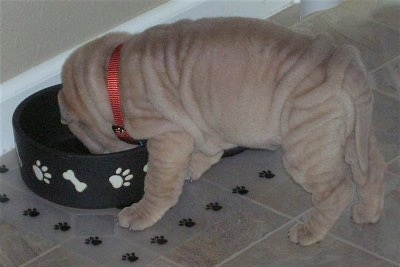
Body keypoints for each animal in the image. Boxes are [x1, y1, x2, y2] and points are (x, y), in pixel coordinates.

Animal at [57, 17, 386, 246]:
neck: (111, 76)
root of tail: (340, 59)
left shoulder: (168, 137)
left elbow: (159, 183)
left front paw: (141, 213)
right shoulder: (203, 126)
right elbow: (206, 152)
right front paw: (191, 168)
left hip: (306, 148)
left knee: (337, 190)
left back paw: (310, 232)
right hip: (352, 136)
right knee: (371, 171)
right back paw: (368, 213)